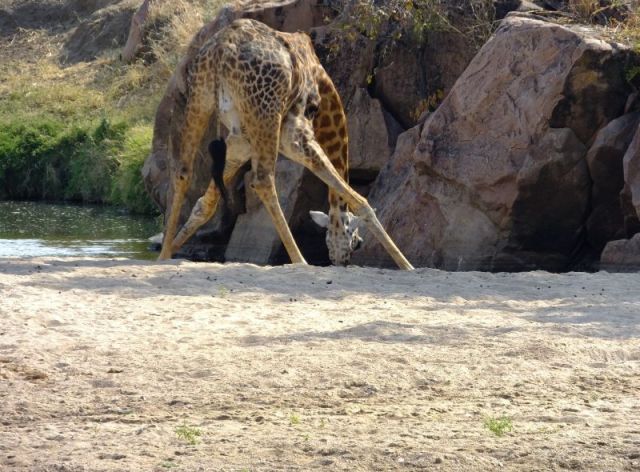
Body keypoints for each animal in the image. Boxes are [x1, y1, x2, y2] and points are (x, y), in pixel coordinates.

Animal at [158, 18, 414, 270]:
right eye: (356, 241)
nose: (341, 262)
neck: (324, 87)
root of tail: (223, 47)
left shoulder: (241, 141)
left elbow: (204, 204)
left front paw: (168, 251)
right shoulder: (295, 132)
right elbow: (360, 201)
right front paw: (407, 265)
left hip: (200, 99)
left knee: (182, 172)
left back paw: (163, 254)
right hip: (266, 112)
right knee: (263, 180)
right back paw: (300, 260)